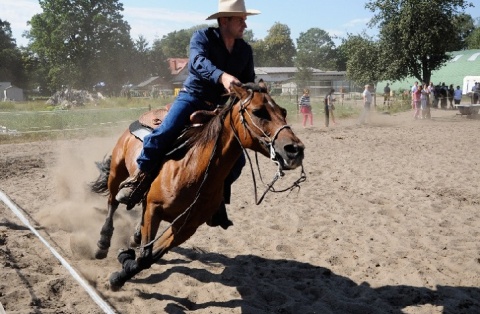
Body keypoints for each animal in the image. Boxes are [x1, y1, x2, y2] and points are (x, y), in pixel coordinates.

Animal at [90, 83, 304, 290]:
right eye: (258, 111)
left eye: (283, 111)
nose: (295, 149)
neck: (193, 170)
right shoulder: (154, 208)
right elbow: (144, 255)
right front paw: (122, 264)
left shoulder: (185, 227)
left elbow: (148, 258)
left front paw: (121, 271)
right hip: (117, 171)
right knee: (112, 203)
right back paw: (102, 243)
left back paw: (134, 236)